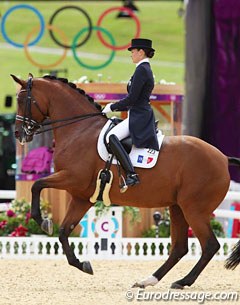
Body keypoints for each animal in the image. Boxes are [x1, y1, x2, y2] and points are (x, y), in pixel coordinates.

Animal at [11, 73, 240, 288]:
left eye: (22, 100)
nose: (18, 133)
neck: (80, 130)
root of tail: (222, 157)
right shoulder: (81, 196)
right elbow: (63, 231)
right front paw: (82, 264)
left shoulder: (72, 179)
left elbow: (37, 185)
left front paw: (43, 221)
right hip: (178, 207)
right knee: (179, 247)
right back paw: (148, 281)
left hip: (194, 209)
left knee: (209, 245)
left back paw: (183, 281)